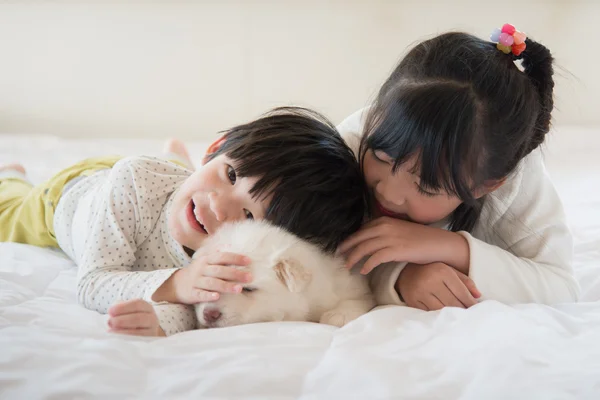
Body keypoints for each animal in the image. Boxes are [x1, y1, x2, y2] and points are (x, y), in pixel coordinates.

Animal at [195, 220, 376, 330]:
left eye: (248, 289)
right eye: (212, 281)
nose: (209, 314)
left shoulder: (354, 284)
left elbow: (356, 300)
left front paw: (337, 315)